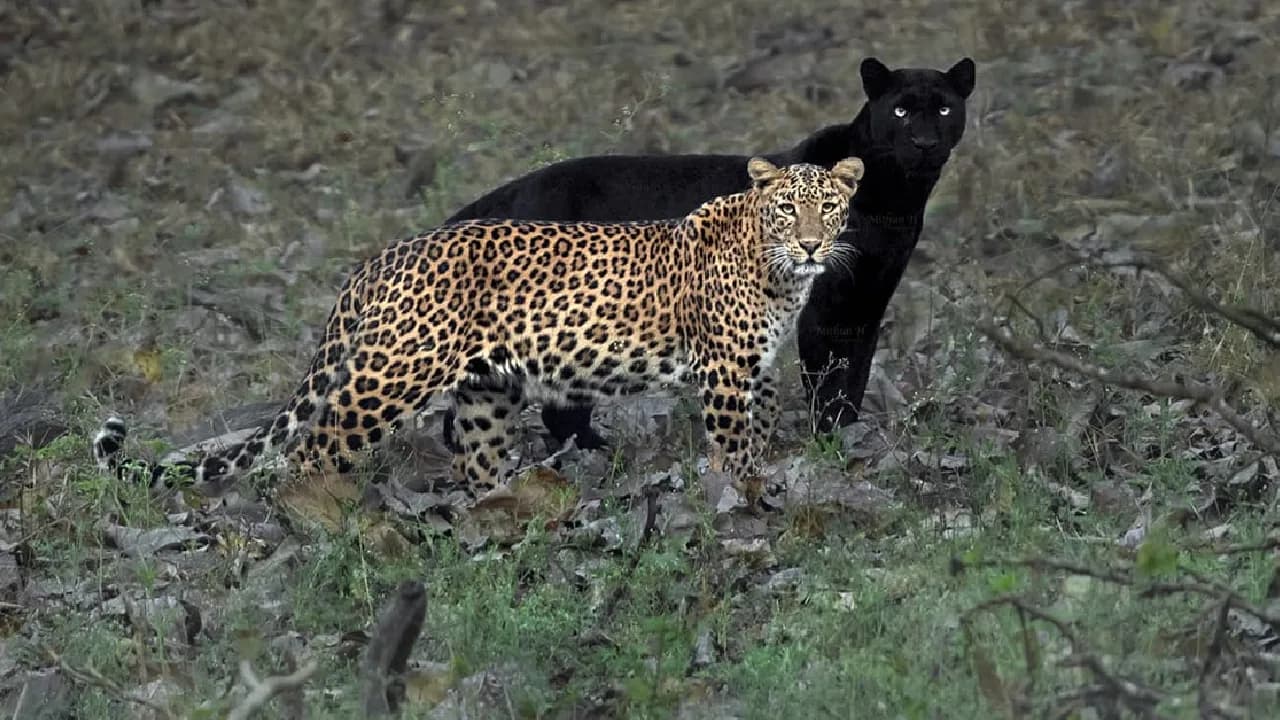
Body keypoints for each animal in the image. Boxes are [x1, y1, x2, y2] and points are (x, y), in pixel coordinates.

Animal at [94, 155, 865, 497]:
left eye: (828, 208)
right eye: (787, 209)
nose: (811, 246)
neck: (777, 272)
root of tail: (380, 257)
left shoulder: (757, 369)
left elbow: (758, 433)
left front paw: (758, 481)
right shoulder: (726, 370)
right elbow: (731, 446)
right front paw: (737, 498)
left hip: (486, 392)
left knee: (477, 460)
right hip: (391, 374)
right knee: (311, 450)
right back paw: (325, 517)